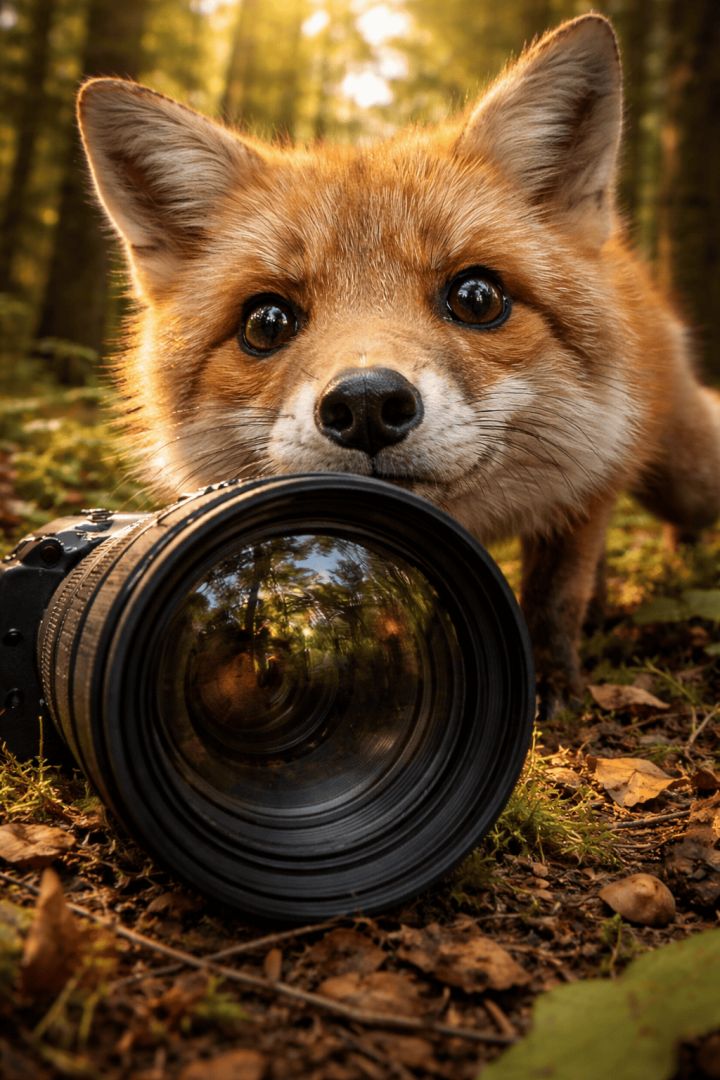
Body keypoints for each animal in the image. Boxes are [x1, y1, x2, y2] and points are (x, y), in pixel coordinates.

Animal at [76, 14, 720, 714]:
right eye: (266, 323)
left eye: (476, 297)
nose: (365, 405)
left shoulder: (586, 480)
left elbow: (555, 595)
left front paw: (551, 683)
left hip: (689, 480)